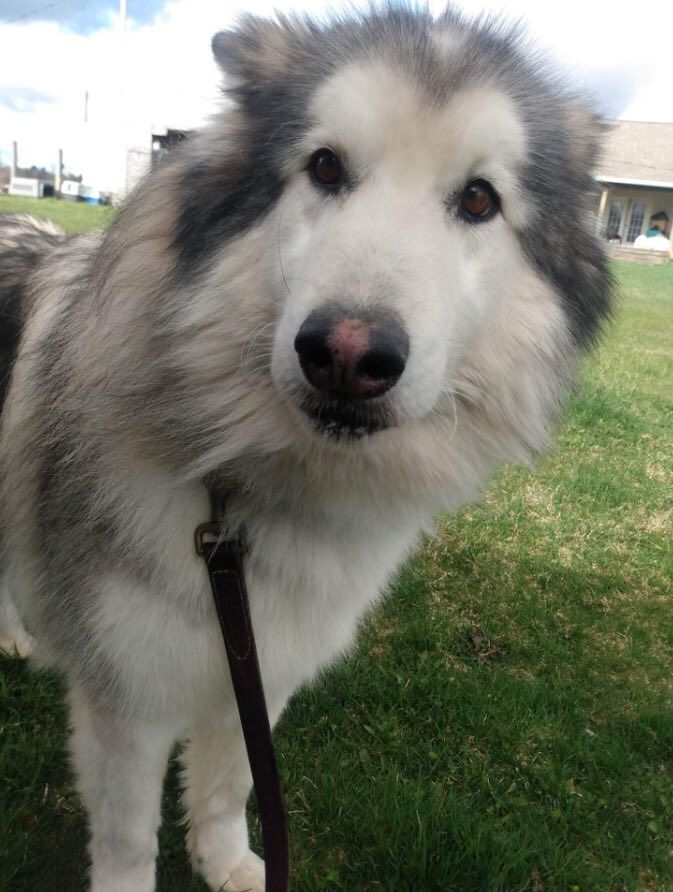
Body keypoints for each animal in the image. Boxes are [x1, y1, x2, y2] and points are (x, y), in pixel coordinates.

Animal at [0, 6, 608, 892]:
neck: (251, 496)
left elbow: (230, 783)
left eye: (477, 199)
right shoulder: (125, 701)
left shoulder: (261, 665)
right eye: (325, 166)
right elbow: (128, 840)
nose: (347, 356)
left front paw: (228, 863)